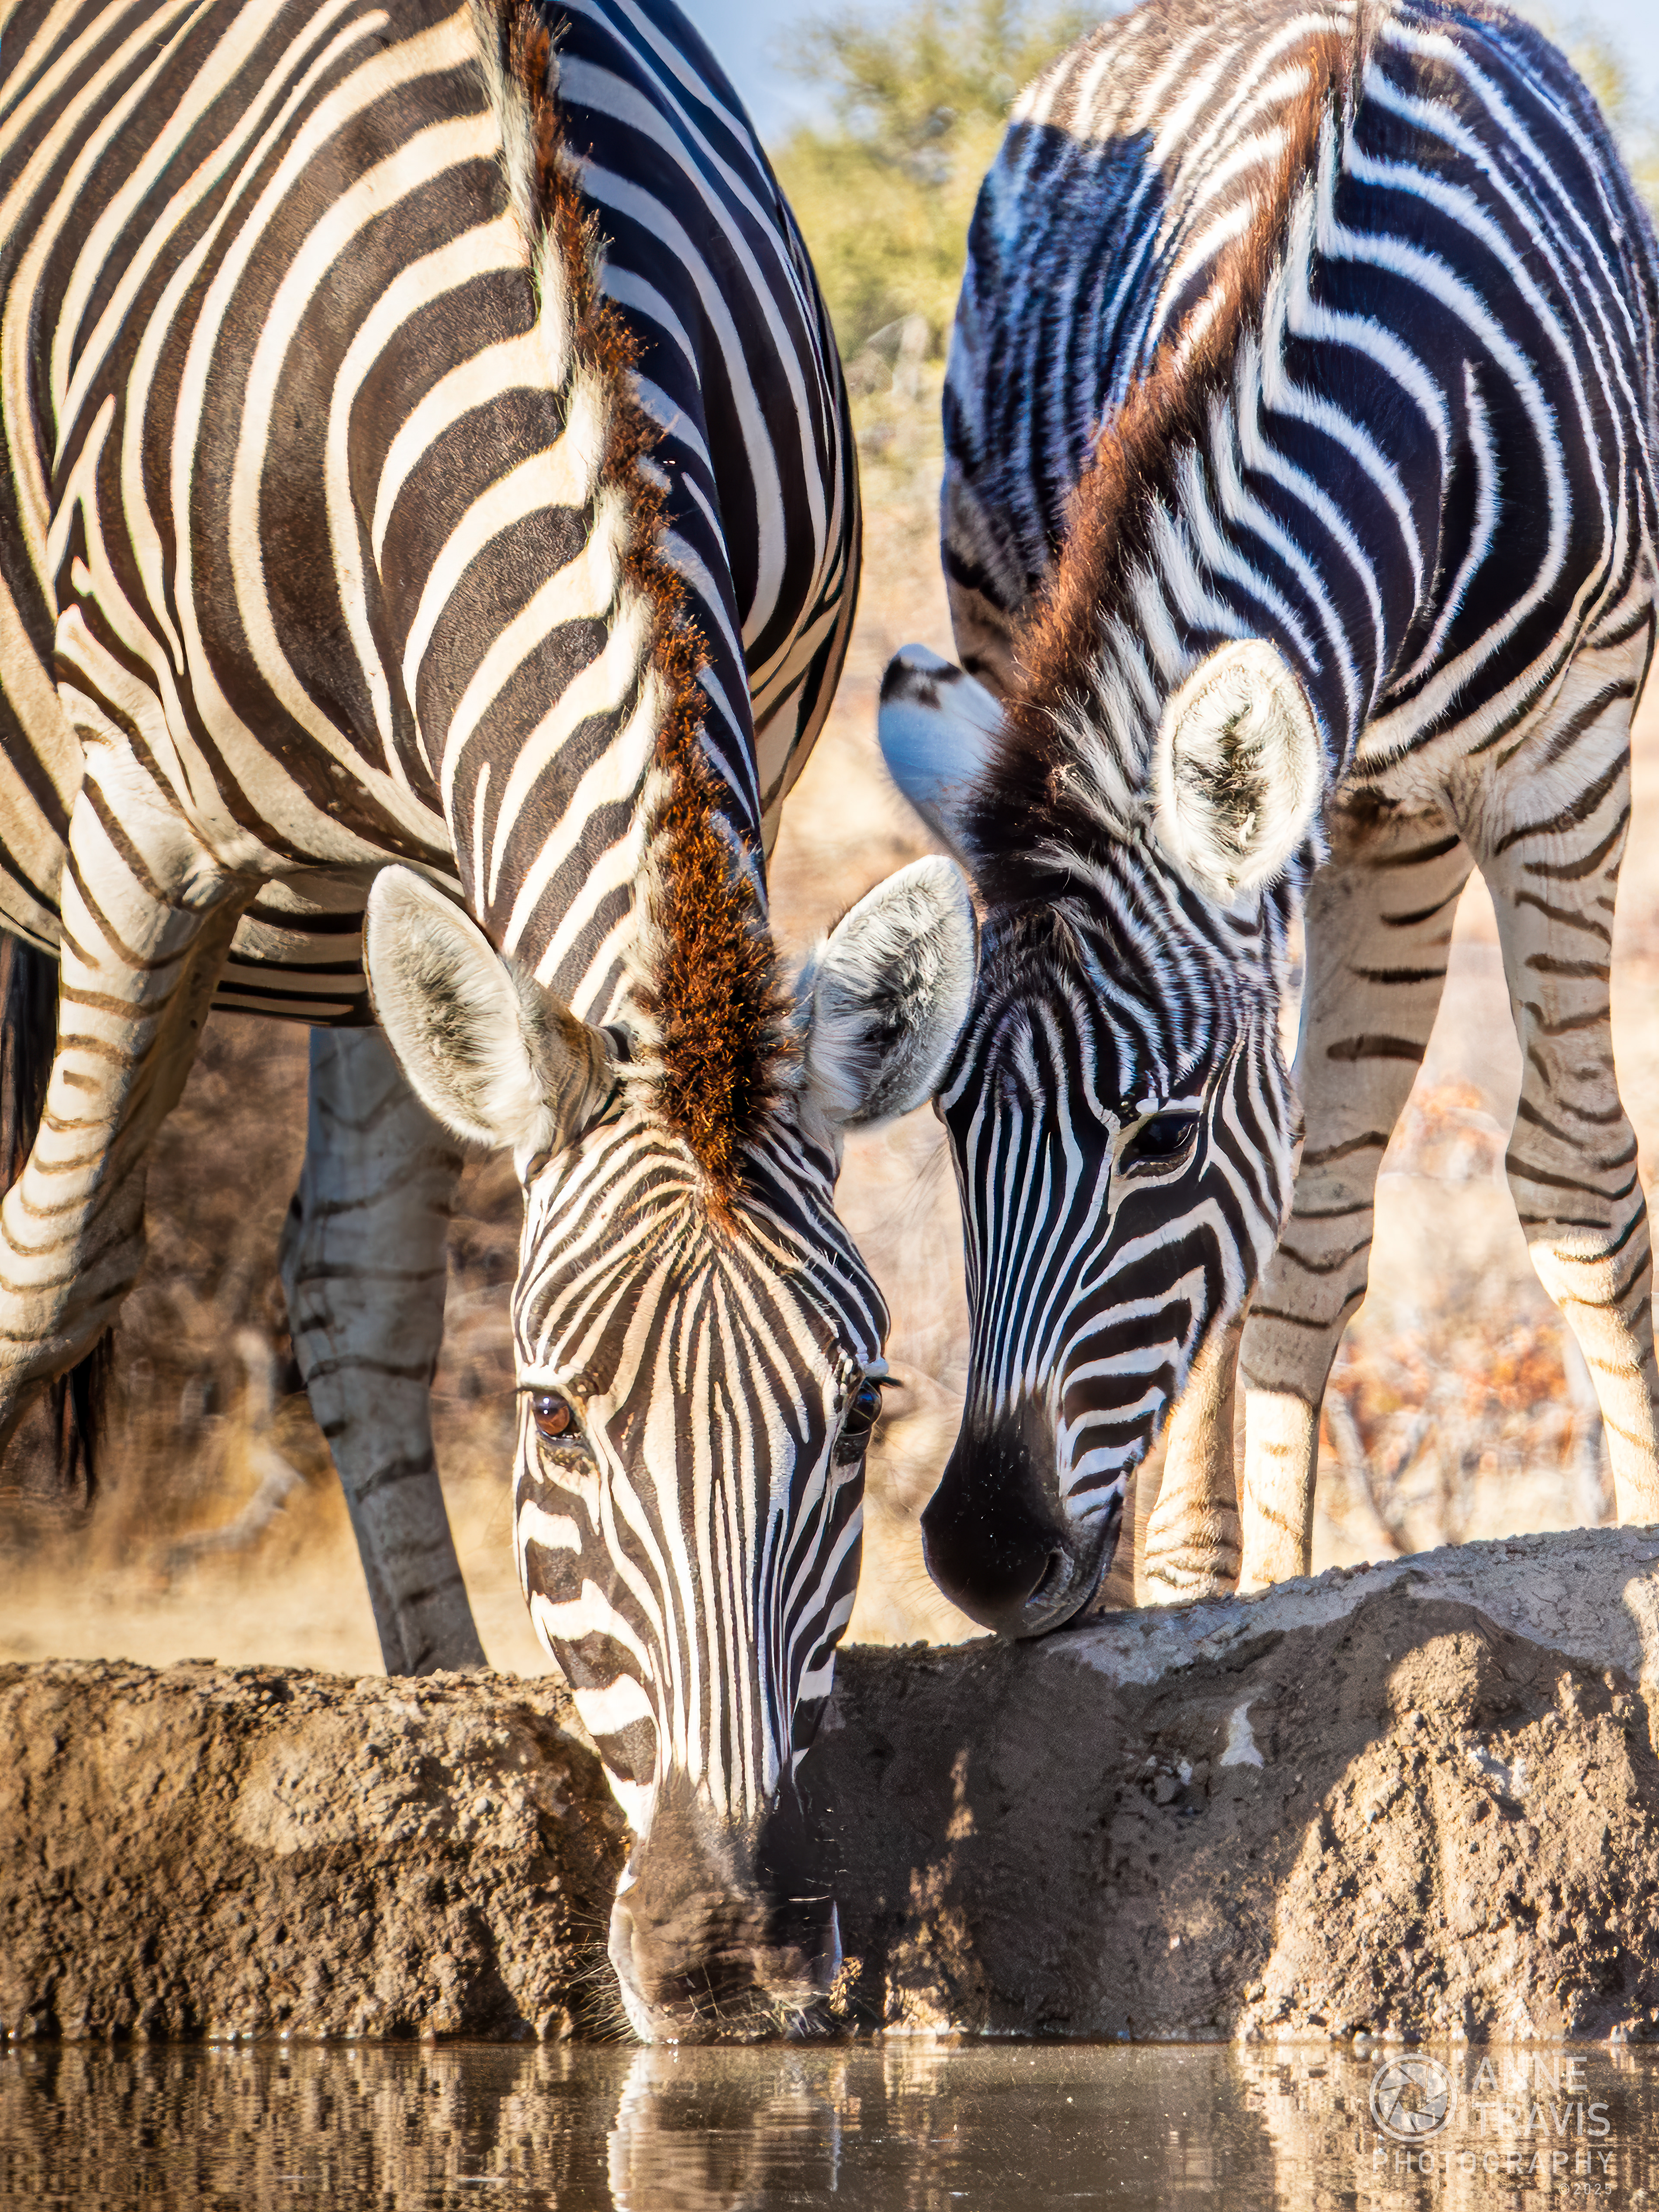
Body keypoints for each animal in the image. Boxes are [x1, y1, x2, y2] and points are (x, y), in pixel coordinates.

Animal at [0, 0, 977, 2039]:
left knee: (346, 1286)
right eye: (551, 1416)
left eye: (862, 1410)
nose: (731, 1955)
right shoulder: (143, 827)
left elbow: (363, 1284)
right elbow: (51, 1271)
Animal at [877, 0, 1659, 1634]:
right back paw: (1175, 1578)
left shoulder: (1565, 752)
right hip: (1007, 631)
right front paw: (1205, 1587)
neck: (1411, 390)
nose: (982, 1560)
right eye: (952, 1129)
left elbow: (1566, 1173)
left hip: (1387, 831)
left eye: (1161, 1143)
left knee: (1324, 1193)